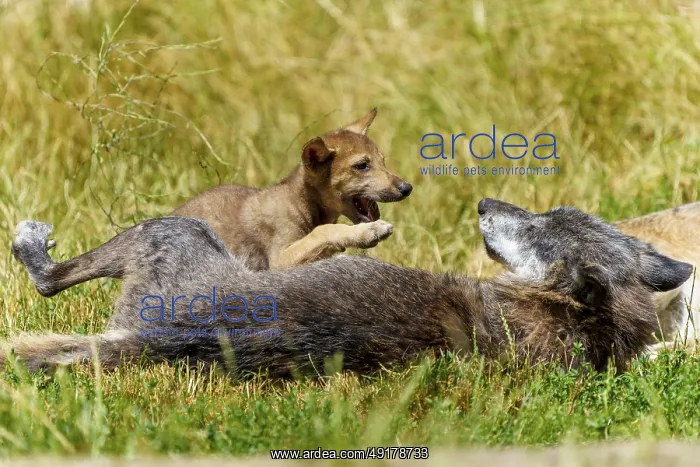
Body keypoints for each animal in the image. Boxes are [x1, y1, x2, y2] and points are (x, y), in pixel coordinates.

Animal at [5, 199, 692, 376]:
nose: (483, 204)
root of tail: (159, 340)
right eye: (549, 212)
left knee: (47, 280)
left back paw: (31, 243)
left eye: (537, 227)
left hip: (172, 232)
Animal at [170, 108, 412, 270]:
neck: (301, 202)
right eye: (362, 165)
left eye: (383, 161)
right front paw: (369, 232)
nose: (407, 188)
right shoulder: (279, 260)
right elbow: (324, 231)